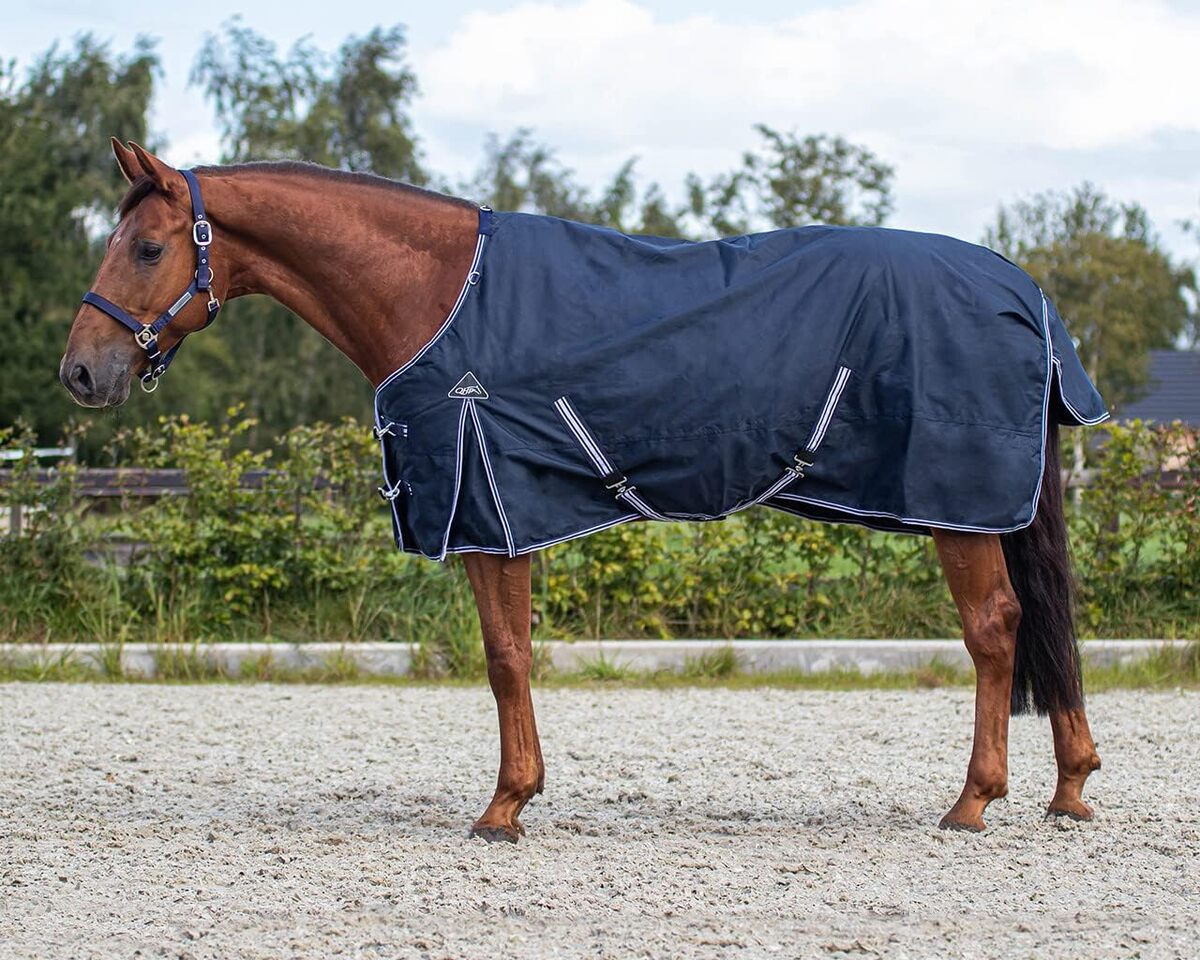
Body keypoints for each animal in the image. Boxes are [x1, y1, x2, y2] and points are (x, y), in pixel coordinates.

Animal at [60, 140, 1103, 842]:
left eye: (147, 248)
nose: (80, 372)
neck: (435, 293)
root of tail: (1025, 292)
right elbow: (510, 655)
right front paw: (516, 795)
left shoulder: (489, 508)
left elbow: (504, 657)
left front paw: (504, 805)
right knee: (1043, 626)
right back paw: (1070, 788)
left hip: (958, 504)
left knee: (996, 628)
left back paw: (974, 801)